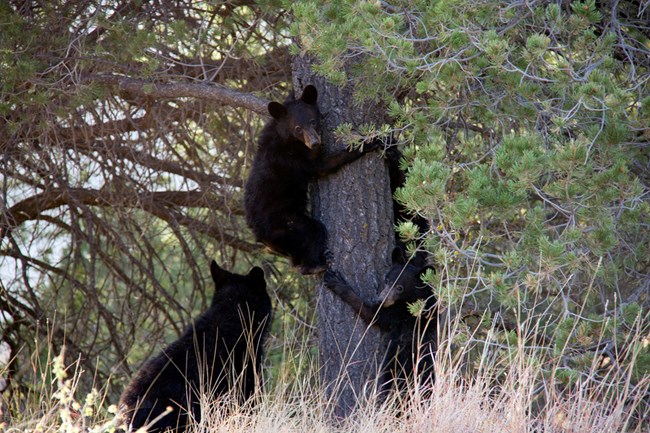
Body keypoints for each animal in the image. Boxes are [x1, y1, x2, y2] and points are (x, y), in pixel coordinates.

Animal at [244, 85, 380, 275]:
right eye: (298, 128)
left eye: (313, 121)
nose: (315, 142)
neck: (286, 138)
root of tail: (258, 235)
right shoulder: (293, 158)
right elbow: (322, 166)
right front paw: (370, 142)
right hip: (286, 225)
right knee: (314, 231)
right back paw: (315, 265)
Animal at [323, 246, 437, 394]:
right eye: (387, 280)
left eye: (400, 287)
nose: (380, 300)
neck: (418, 298)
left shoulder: (399, 313)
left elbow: (373, 314)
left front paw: (336, 281)